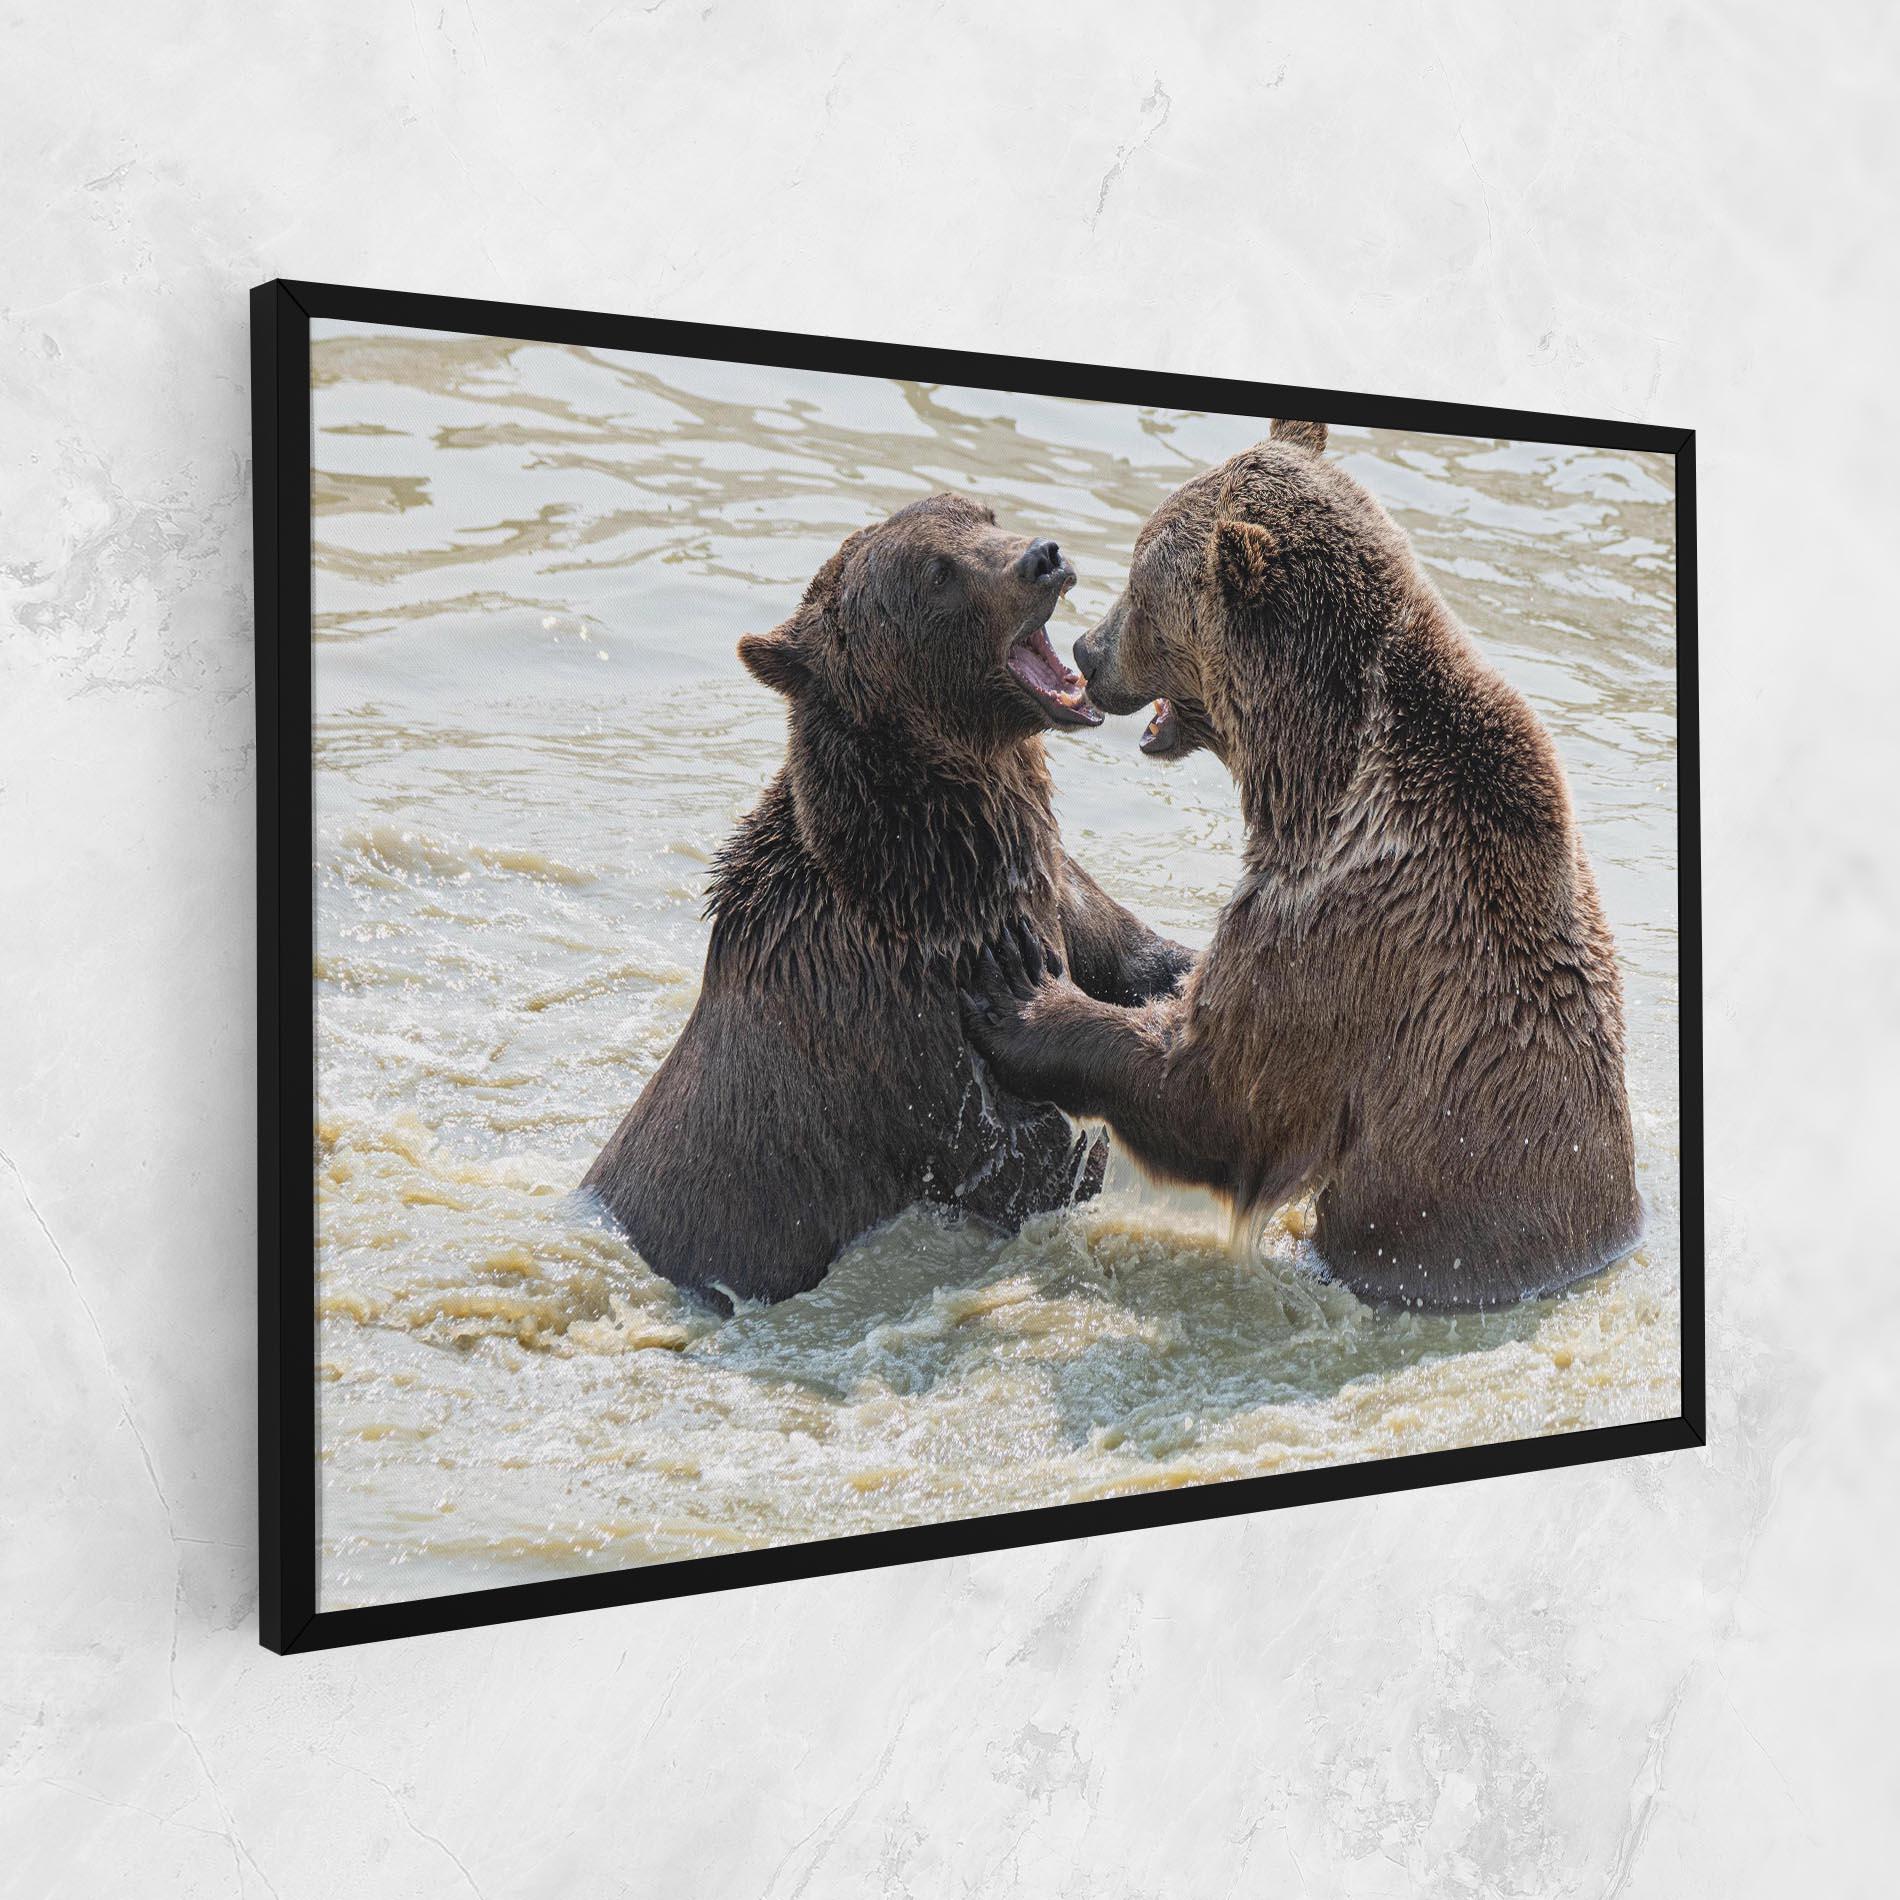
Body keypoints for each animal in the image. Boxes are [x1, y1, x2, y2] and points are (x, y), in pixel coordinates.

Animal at [582, 493, 1193, 1308]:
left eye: (980, 512)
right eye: (937, 573)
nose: (1043, 556)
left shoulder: (1055, 888)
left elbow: (1141, 957)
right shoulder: (908, 1035)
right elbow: (1033, 1159)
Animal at [961, 419, 1643, 1309]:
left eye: (1141, 586)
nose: (1087, 648)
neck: (1312, 775)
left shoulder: (1340, 932)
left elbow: (1215, 1089)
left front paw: (1022, 999)